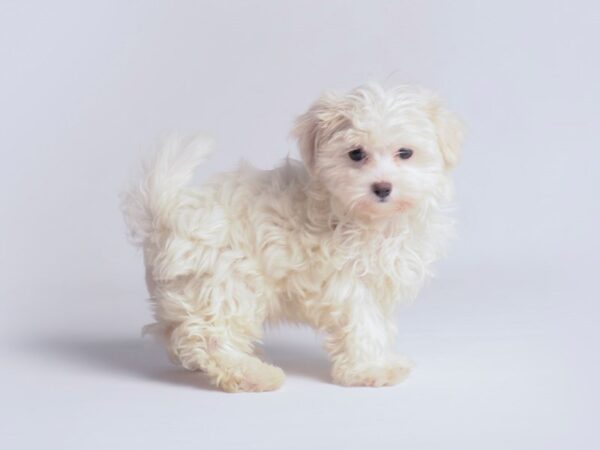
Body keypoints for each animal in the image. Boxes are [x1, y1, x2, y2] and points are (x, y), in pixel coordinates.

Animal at [120, 82, 464, 392]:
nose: (382, 187)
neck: (371, 219)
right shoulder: (348, 282)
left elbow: (378, 324)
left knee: (174, 331)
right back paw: (253, 374)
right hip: (224, 282)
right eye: (356, 154)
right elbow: (362, 324)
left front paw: (379, 361)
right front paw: (370, 370)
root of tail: (167, 211)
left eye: (405, 153)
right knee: (210, 336)